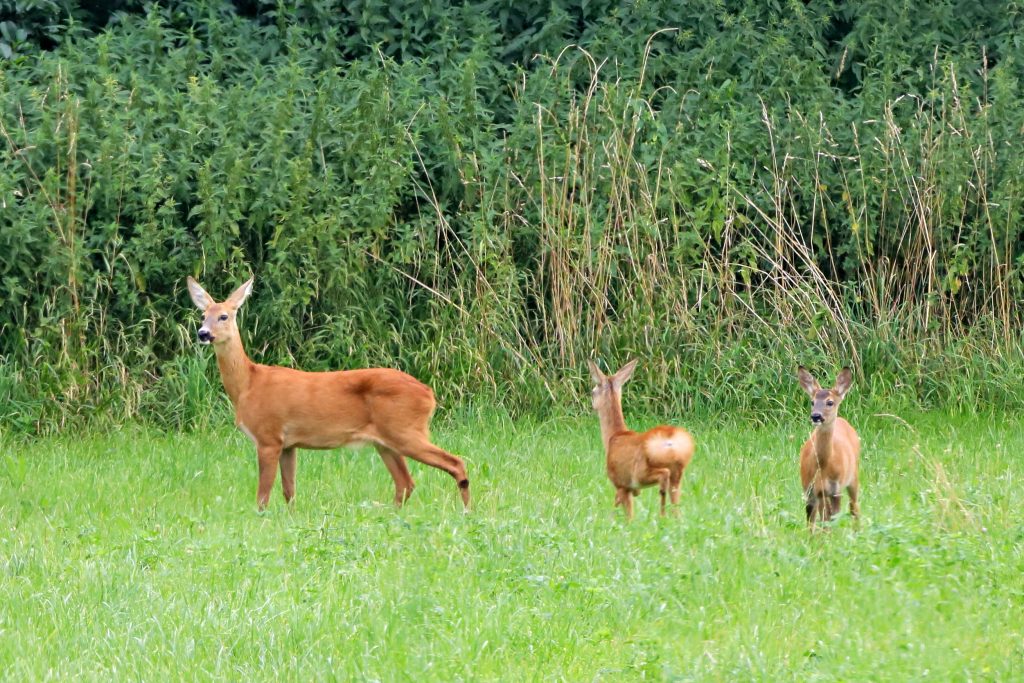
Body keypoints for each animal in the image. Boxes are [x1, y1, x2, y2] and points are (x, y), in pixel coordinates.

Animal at [185, 274, 471, 509]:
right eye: (203, 315)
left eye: (224, 316)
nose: (203, 333)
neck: (248, 384)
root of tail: (429, 394)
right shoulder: (289, 444)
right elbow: (289, 491)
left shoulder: (268, 436)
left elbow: (263, 495)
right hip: (387, 441)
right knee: (405, 482)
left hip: (406, 430)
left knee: (455, 463)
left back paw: (466, 510)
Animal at [585, 360, 696, 520]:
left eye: (592, 392)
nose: (591, 406)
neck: (614, 436)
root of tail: (671, 442)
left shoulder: (621, 483)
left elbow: (627, 515)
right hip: (678, 474)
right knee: (677, 507)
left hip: (641, 472)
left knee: (664, 476)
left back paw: (662, 514)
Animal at [794, 366, 860, 528]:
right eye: (812, 402)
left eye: (830, 402)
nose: (816, 416)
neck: (823, 466)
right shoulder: (810, 490)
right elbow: (813, 522)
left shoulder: (835, 489)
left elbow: (831, 518)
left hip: (853, 476)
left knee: (854, 506)